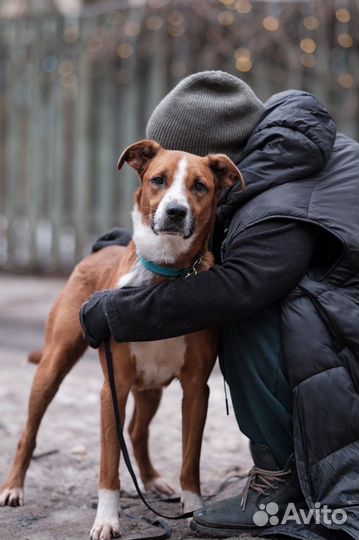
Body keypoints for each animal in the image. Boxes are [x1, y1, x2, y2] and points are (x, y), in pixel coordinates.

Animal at [0, 140, 245, 540]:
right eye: (158, 179)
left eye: (200, 186)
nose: (175, 212)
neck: (164, 280)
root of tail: (98, 252)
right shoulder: (112, 389)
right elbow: (109, 463)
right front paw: (106, 519)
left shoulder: (196, 388)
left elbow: (190, 457)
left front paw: (193, 506)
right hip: (53, 365)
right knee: (29, 433)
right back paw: (13, 487)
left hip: (151, 387)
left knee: (137, 431)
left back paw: (153, 480)